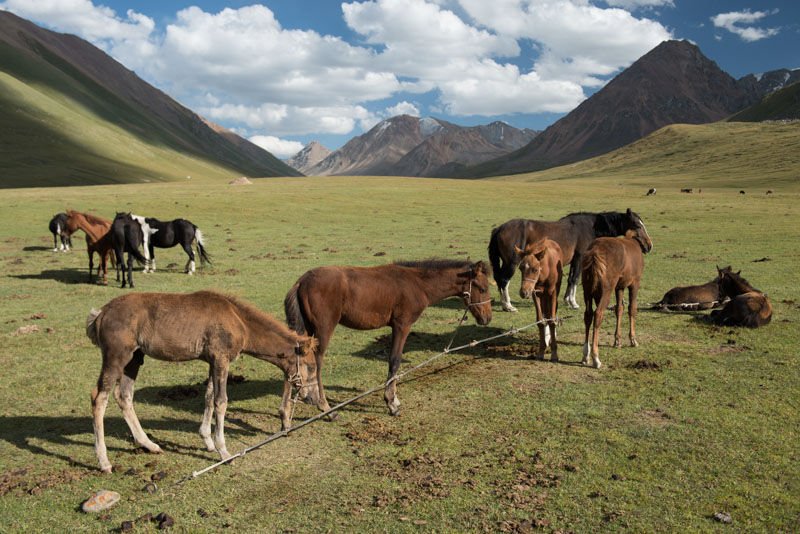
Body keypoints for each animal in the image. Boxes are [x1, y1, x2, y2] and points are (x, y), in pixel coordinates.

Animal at [83, 294, 316, 474]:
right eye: (312, 367)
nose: (312, 397)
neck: (238, 320)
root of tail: (101, 313)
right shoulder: (221, 359)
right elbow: (221, 401)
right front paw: (224, 451)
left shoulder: (213, 361)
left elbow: (209, 397)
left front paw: (207, 441)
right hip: (116, 357)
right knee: (99, 398)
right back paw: (104, 462)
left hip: (134, 358)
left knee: (123, 396)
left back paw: (149, 444)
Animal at [284, 260, 490, 418]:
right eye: (483, 288)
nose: (487, 318)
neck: (418, 285)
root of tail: (302, 281)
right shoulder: (401, 325)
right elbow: (395, 360)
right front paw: (392, 403)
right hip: (324, 329)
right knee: (317, 361)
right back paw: (326, 407)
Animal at [488, 208, 648, 312]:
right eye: (637, 225)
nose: (649, 246)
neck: (590, 228)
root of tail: (499, 229)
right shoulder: (579, 259)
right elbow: (574, 279)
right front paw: (573, 303)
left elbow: (570, 279)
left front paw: (567, 299)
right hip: (512, 263)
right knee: (504, 280)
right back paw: (508, 306)